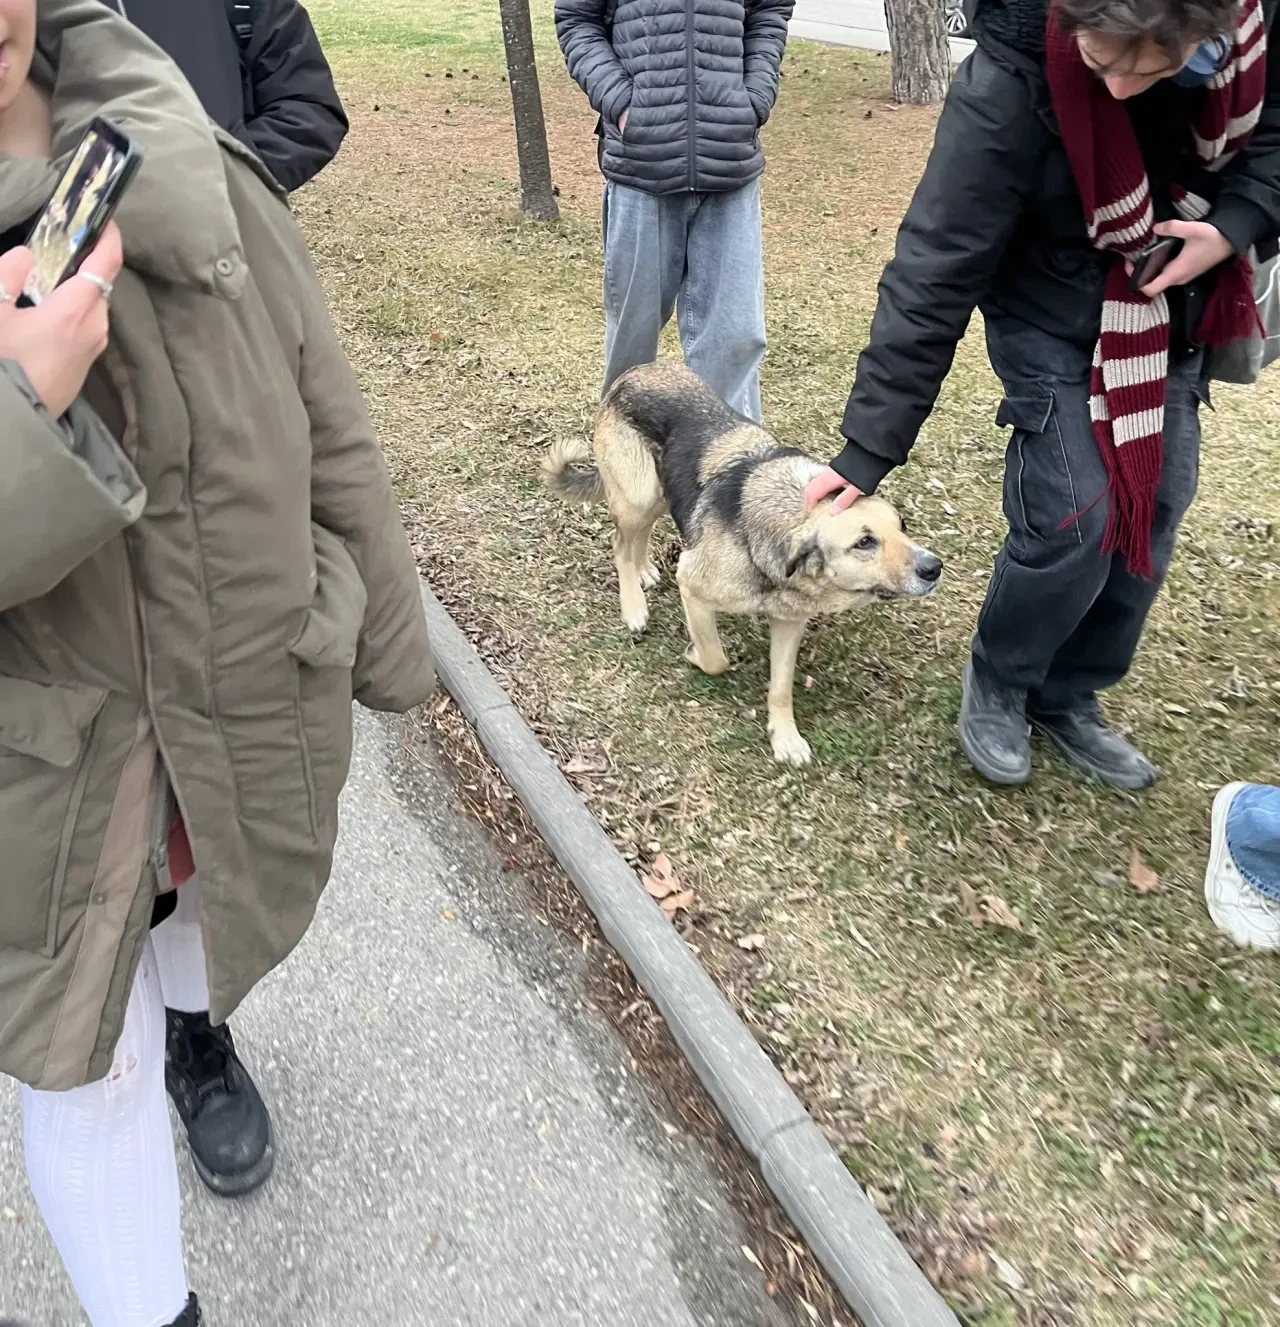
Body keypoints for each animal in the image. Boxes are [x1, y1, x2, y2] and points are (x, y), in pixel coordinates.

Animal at [538, 366, 939, 769]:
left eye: (902, 526)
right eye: (864, 542)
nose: (934, 567)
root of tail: (633, 373)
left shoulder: (789, 622)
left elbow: (781, 687)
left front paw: (785, 736)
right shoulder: (693, 588)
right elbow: (715, 658)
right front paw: (694, 654)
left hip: (662, 493)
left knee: (640, 533)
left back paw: (644, 569)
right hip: (639, 494)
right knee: (619, 542)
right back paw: (633, 605)